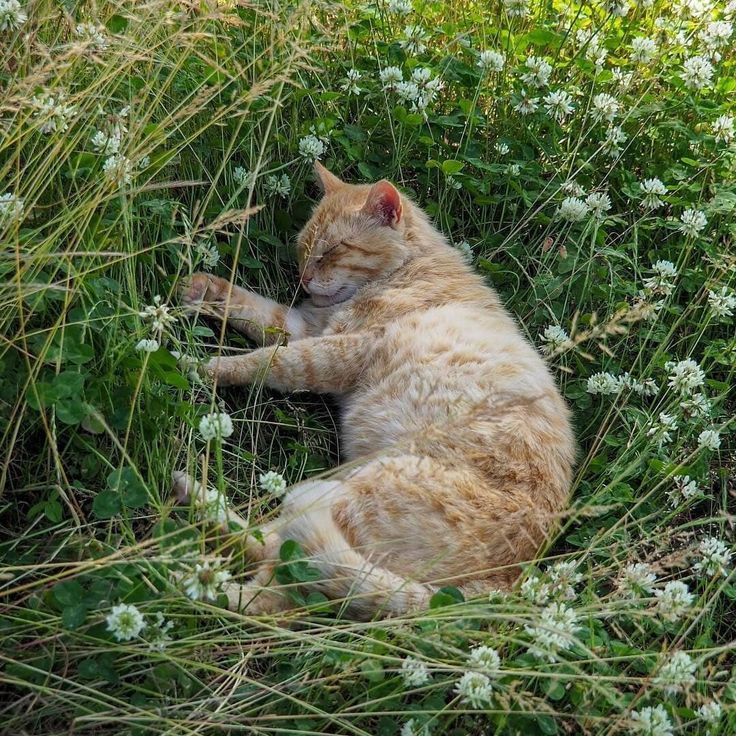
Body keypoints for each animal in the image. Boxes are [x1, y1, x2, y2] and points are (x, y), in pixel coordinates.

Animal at [178, 164, 576, 620]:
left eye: (332, 249)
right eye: (304, 249)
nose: (305, 279)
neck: (408, 268)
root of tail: (504, 584)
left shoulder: (337, 351)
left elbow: (268, 361)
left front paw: (203, 366)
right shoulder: (305, 327)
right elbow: (254, 310)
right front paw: (203, 290)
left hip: (354, 495)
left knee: (272, 577)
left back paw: (182, 562)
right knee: (272, 581)